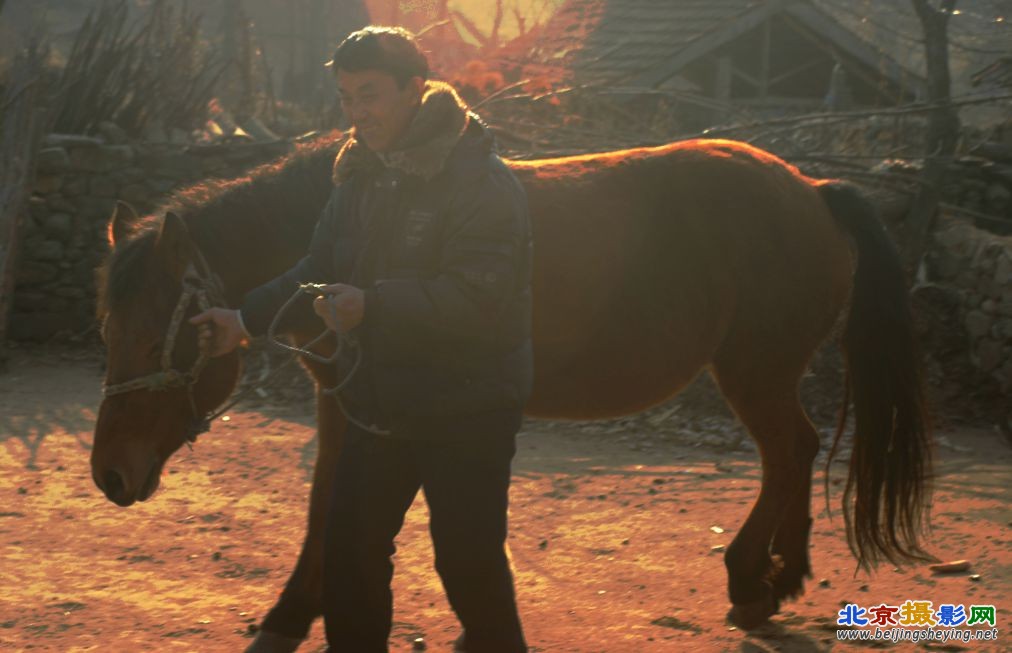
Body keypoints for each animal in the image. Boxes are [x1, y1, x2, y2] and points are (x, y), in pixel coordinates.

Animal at [95, 134, 931, 647]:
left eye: (160, 337)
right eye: (107, 330)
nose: (109, 474)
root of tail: (812, 189)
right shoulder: (345, 401)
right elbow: (326, 504)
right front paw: (293, 612)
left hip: (754, 369)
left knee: (789, 451)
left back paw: (752, 578)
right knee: (802, 450)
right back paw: (784, 571)